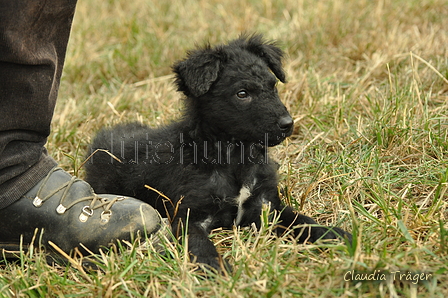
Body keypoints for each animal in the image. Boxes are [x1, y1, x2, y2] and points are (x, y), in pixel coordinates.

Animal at [84, 33, 350, 272]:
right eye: (242, 93)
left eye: (273, 86)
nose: (288, 124)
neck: (235, 158)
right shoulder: (190, 217)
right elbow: (201, 245)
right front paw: (217, 269)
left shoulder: (267, 206)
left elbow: (303, 222)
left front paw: (337, 236)